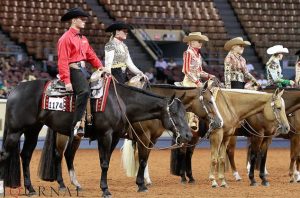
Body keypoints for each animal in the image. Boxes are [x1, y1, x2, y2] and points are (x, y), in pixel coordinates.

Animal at [0, 77, 192, 196]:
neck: (120, 101)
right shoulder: (109, 135)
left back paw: (34, 189)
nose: (188, 135)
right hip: (16, 131)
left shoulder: (116, 137)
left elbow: (109, 161)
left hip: (33, 130)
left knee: (27, 156)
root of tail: (16, 89)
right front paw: (106, 189)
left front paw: (139, 185)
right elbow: (108, 163)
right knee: (8, 155)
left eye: (185, 112)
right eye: (175, 113)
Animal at [37, 79, 223, 193]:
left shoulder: (151, 139)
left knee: (68, 155)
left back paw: (75, 184)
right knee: (58, 155)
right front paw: (141, 183)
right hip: (63, 135)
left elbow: (144, 159)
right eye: (209, 101)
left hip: (74, 136)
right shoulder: (143, 136)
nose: (219, 122)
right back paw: (62, 184)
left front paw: (144, 181)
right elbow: (142, 159)